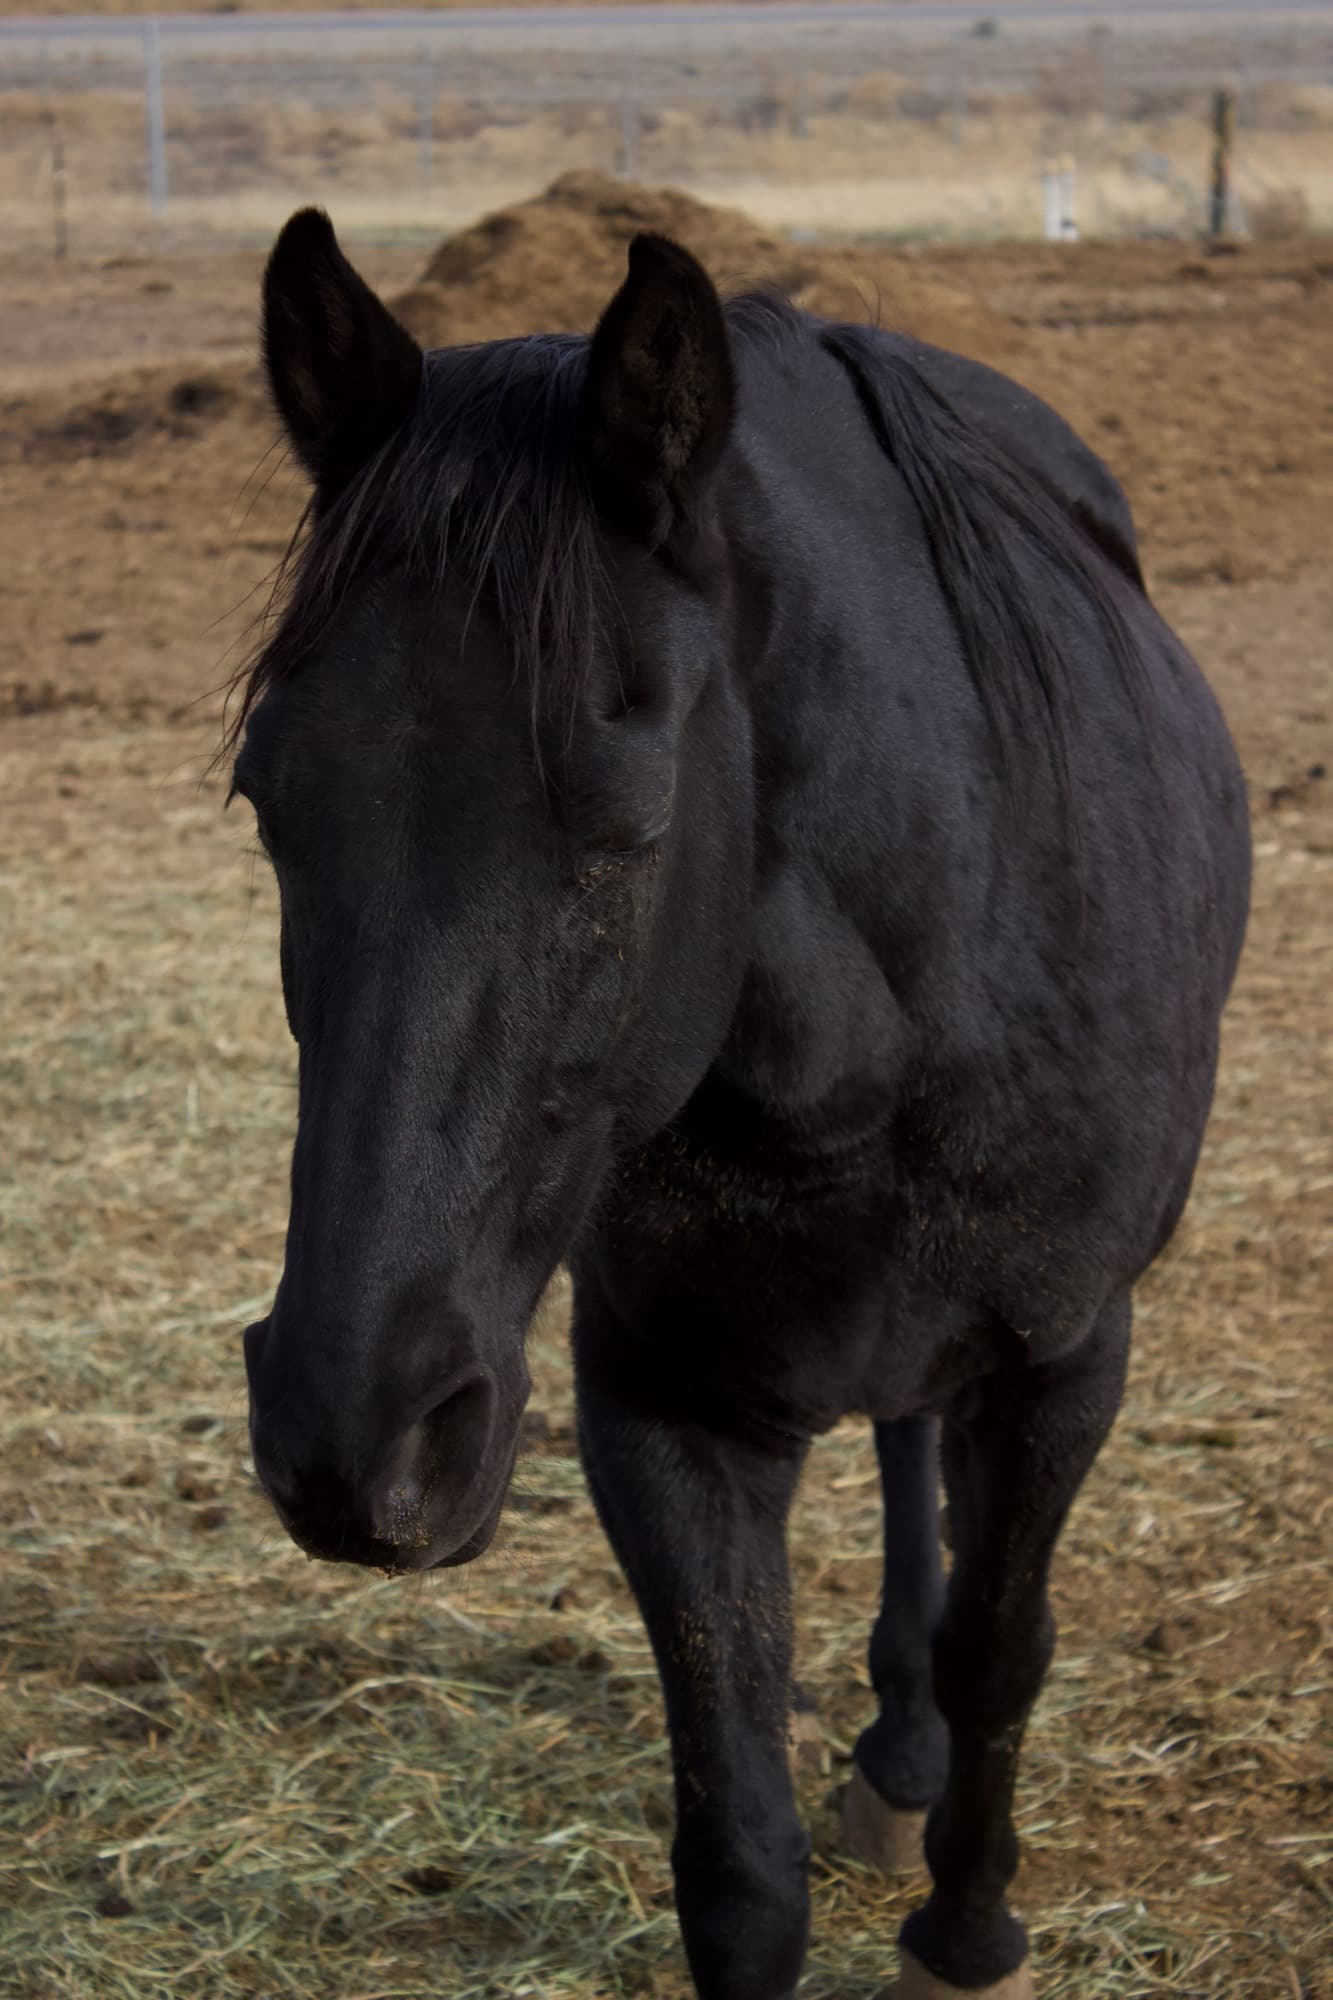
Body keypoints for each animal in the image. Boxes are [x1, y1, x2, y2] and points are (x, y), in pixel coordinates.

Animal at [232, 209, 1250, 2000]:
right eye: (266, 798)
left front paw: (968, 1934)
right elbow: (741, 1862)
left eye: (624, 815)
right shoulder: (664, 1405)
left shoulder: (1065, 1358)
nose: (351, 1441)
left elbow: (1004, 1649)